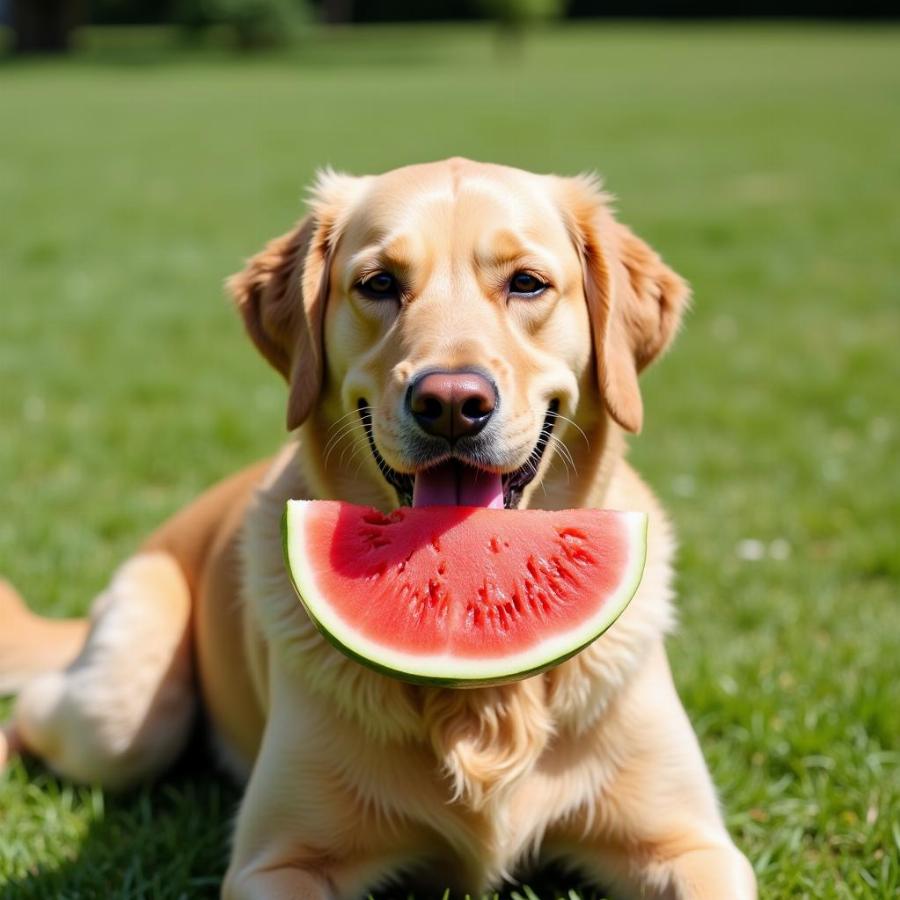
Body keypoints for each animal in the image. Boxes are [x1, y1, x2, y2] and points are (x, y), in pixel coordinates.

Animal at [1, 158, 760, 896]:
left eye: (527, 284)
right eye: (379, 284)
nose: (451, 402)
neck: (485, 699)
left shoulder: (692, 845)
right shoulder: (278, 862)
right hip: (123, 715)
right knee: (38, 709)